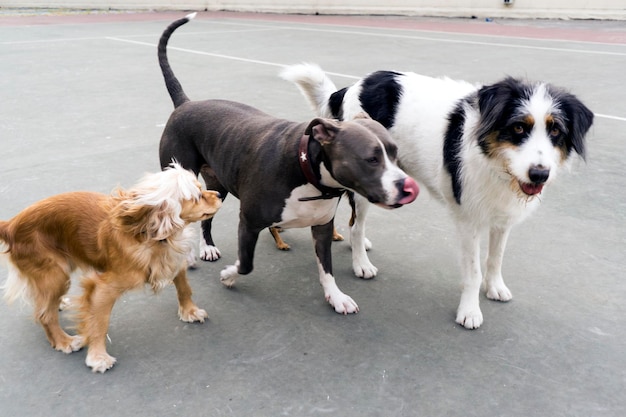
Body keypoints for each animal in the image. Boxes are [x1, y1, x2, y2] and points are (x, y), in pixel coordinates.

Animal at [0, 162, 221, 370]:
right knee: (44, 314)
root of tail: (10, 225)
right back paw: (64, 341)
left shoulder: (174, 260)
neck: (149, 233)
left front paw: (190, 311)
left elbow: (184, 287)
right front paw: (98, 357)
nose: (219, 193)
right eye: (197, 196)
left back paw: (59, 304)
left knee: (44, 302)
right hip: (55, 275)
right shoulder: (103, 289)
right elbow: (99, 323)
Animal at [158, 14, 416, 314]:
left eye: (395, 154)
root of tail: (185, 104)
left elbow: (326, 269)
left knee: (206, 217)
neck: (309, 174)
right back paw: (189, 255)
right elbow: (246, 264)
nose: (408, 187)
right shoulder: (249, 222)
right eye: (371, 159)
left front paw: (336, 296)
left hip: (218, 185)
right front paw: (229, 276)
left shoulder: (322, 227)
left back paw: (206, 246)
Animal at [280, 63, 592, 326]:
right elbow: (473, 271)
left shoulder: (502, 216)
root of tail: (352, 87)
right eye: (518, 127)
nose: (539, 174)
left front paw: (494, 287)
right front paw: (470, 311)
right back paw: (361, 263)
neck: (493, 158)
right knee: (356, 225)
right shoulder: (468, 221)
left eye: (555, 131)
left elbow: (496, 257)